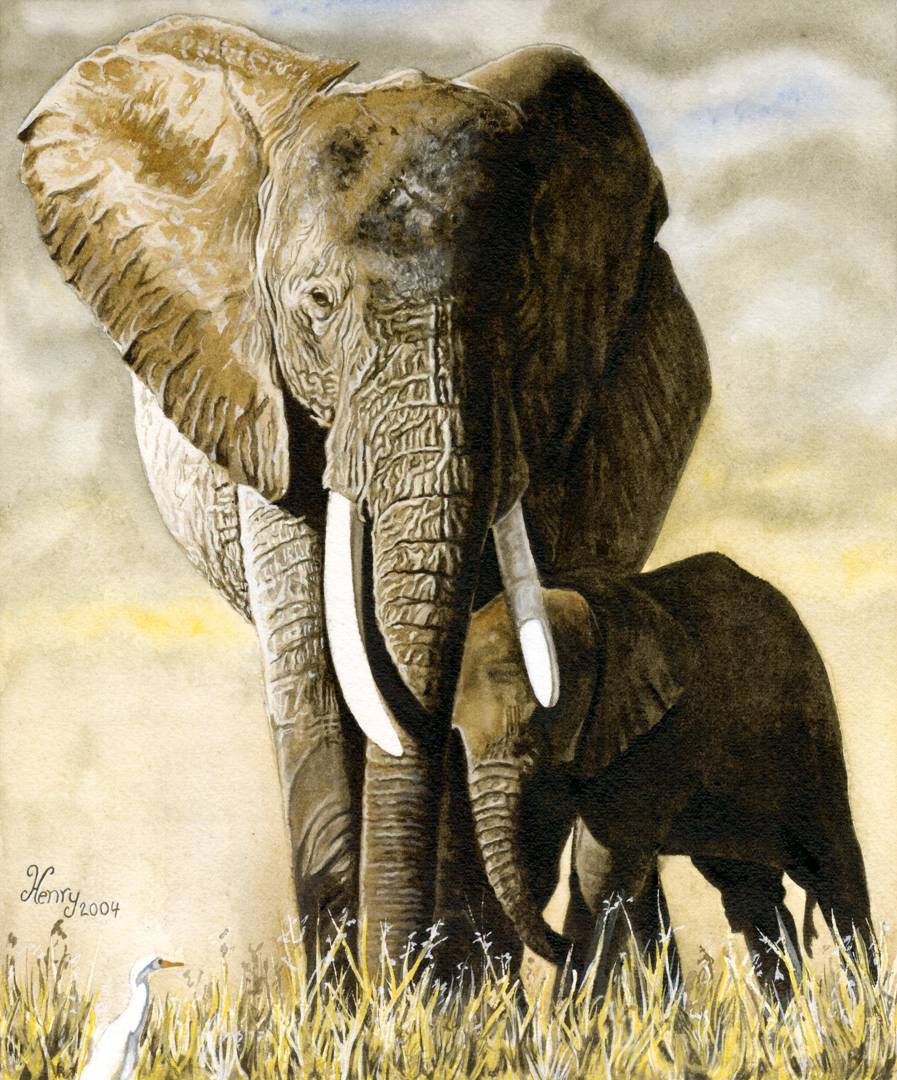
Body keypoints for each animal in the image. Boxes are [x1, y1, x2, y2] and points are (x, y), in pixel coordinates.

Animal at [18, 15, 711, 970]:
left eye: (521, 305)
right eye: (316, 302)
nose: (399, 967)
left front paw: (445, 998)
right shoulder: (258, 399)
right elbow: (316, 665)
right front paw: (365, 995)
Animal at [452, 553, 874, 988]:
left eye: (541, 719)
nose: (561, 948)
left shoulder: (660, 730)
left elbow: (601, 867)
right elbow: (547, 856)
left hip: (811, 735)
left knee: (834, 873)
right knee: (751, 894)